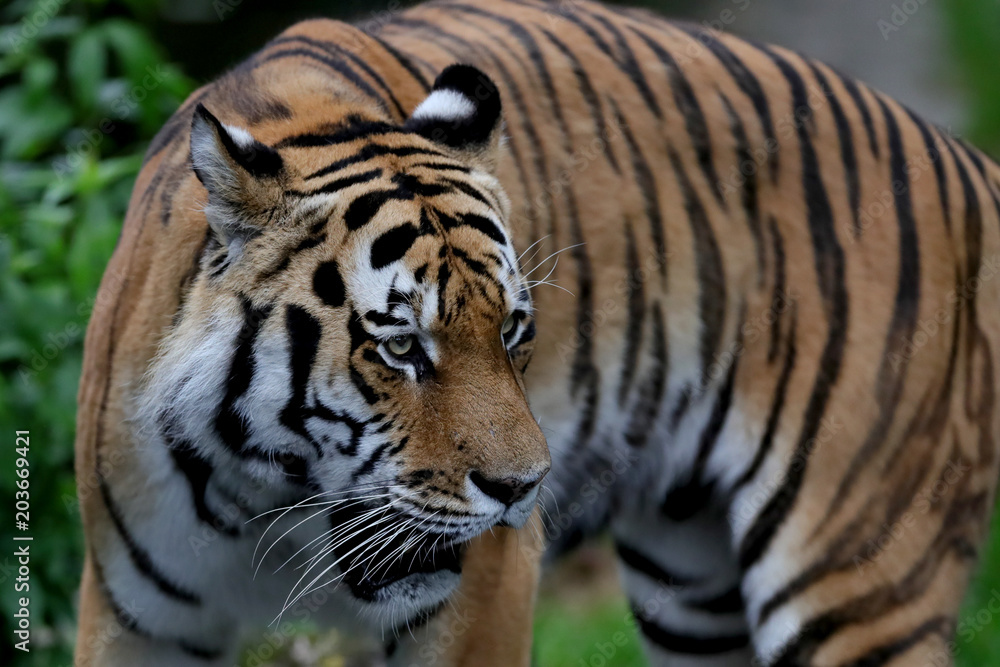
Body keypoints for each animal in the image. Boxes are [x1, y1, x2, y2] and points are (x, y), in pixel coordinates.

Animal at [73, 0, 1000, 665]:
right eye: (400, 346)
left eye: (514, 330)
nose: (523, 491)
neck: (266, 497)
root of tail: (966, 160)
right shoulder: (135, 618)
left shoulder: (483, 594)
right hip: (694, 588)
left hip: (854, 572)